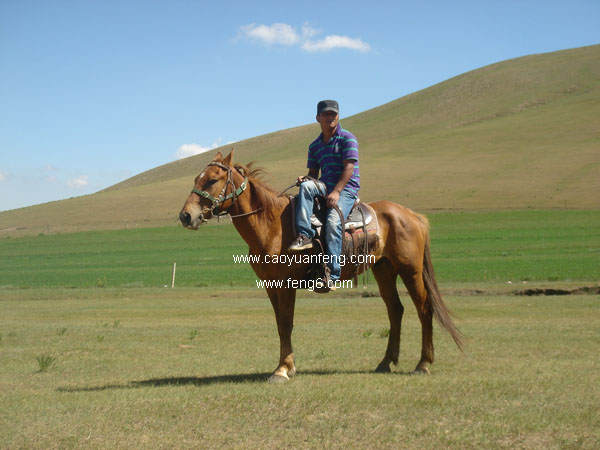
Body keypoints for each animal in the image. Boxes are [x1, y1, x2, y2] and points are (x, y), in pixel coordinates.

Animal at [179, 151, 464, 384]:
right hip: (385, 270)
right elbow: (280, 323)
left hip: (410, 270)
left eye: (212, 180)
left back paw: (423, 364)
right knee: (396, 311)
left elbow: (286, 323)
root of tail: (413, 215)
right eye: (196, 178)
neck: (270, 223)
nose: (186, 215)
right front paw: (287, 366)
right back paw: (385, 362)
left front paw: (282, 370)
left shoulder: (286, 284)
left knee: (424, 309)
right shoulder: (271, 285)